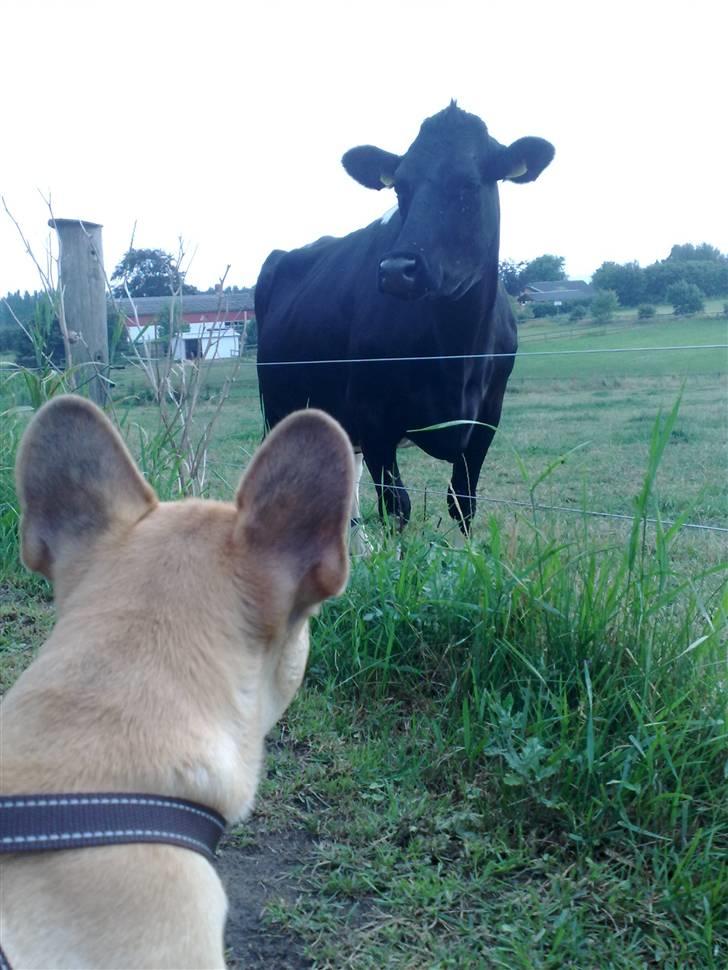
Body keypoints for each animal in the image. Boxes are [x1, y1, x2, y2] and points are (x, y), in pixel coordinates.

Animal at [256, 104, 552, 536]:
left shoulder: (487, 419)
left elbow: (463, 503)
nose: (397, 270)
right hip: (280, 409)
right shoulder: (374, 419)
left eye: (468, 184)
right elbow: (397, 508)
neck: (456, 352)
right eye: (400, 187)